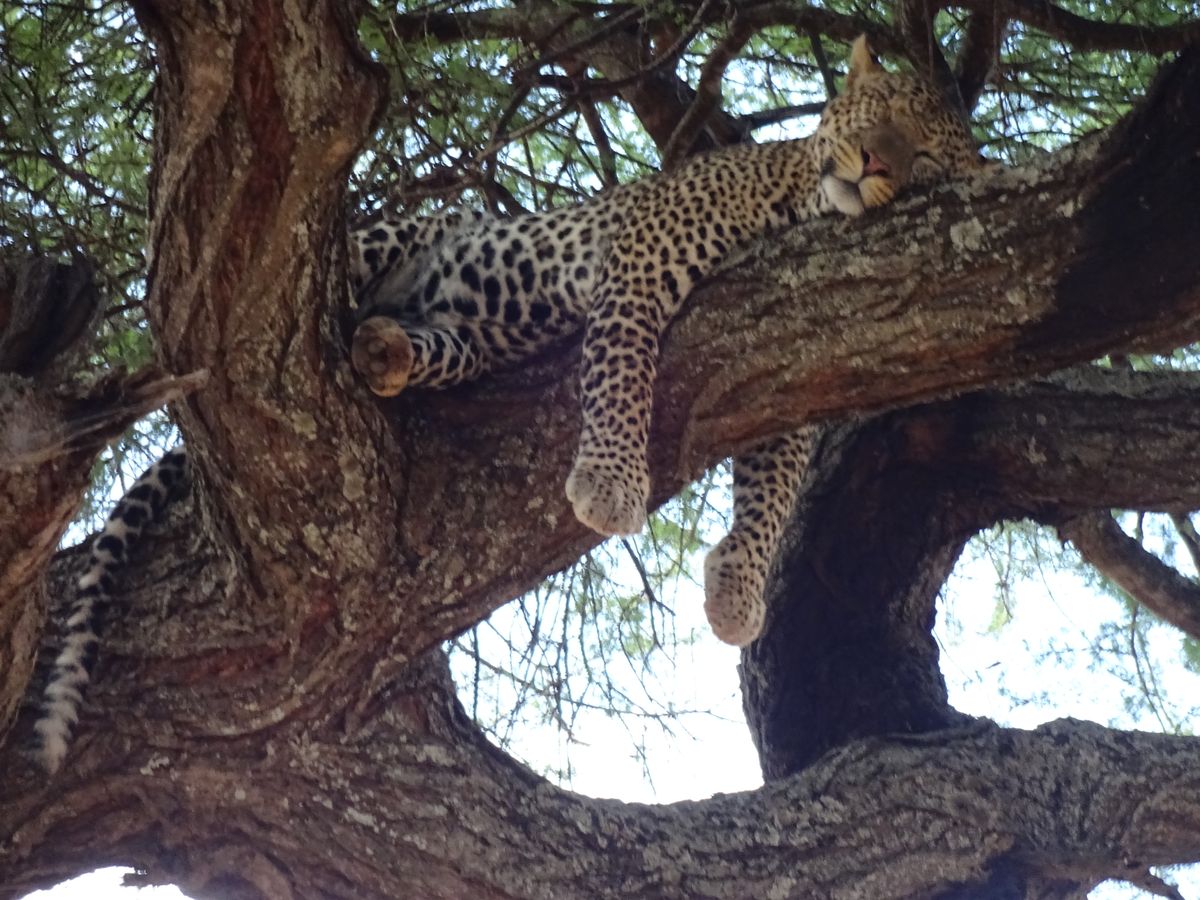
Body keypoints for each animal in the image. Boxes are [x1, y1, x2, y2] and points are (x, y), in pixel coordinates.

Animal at [349, 35, 990, 646]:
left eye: (925, 157)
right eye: (884, 108)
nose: (877, 162)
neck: (801, 203)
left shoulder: (793, 371)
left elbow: (777, 486)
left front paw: (739, 585)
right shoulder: (644, 253)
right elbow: (623, 369)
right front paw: (610, 482)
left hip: (463, 341)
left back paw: (386, 350)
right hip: (402, 236)